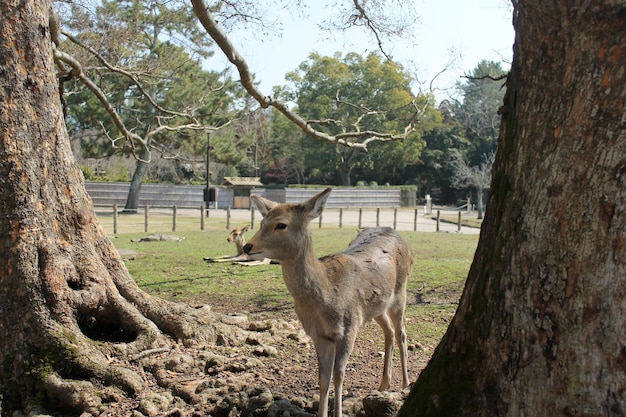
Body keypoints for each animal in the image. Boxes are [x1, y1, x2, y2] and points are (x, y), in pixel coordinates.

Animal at [243, 188, 410, 416]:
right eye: (261, 222)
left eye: (281, 224)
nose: (247, 246)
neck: (327, 296)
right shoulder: (318, 334)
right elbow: (323, 377)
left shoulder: (349, 328)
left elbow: (339, 374)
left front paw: (338, 411)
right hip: (376, 307)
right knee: (390, 332)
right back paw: (384, 385)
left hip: (400, 292)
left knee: (402, 333)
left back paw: (405, 385)